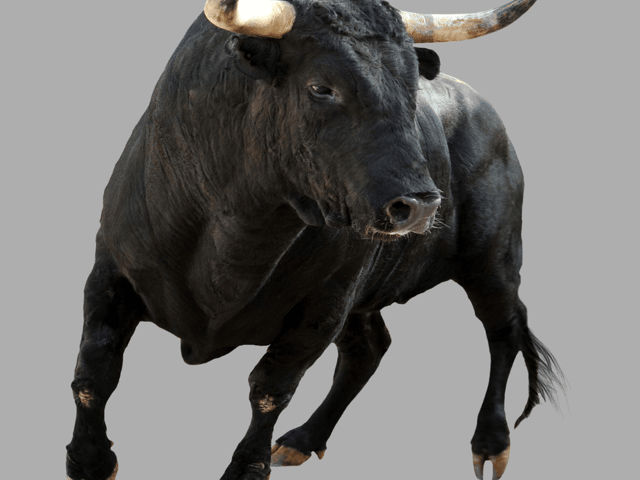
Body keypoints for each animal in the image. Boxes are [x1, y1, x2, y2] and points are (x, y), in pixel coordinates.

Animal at [66, 0, 564, 479]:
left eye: (411, 89)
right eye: (321, 87)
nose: (421, 206)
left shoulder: (324, 304)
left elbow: (271, 387)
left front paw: (247, 468)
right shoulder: (109, 270)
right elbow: (95, 368)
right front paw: (89, 461)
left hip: (493, 259)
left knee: (503, 329)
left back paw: (491, 444)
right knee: (369, 348)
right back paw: (305, 439)